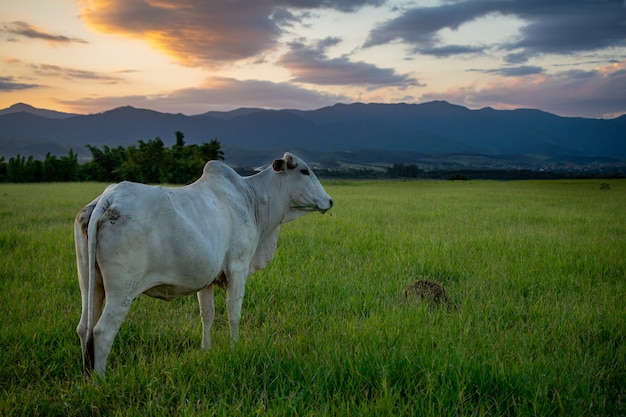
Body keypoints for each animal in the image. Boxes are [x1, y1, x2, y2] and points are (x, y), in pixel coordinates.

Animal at [73, 153, 332, 376]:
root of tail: (108, 198)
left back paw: (87, 376)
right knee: (102, 331)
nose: (329, 201)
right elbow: (233, 312)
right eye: (304, 170)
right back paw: (100, 381)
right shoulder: (237, 268)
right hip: (121, 291)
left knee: (84, 327)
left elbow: (207, 314)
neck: (252, 199)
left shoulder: (207, 279)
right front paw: (235, 347)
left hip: (89, 282)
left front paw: (206, 349)